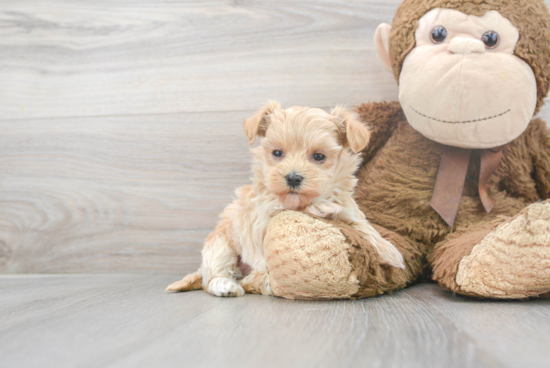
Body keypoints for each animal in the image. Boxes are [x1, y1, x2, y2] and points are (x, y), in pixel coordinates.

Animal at [167, 102, 406, 298]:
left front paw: (389, 251)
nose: (292, 178)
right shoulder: (266, 212)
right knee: (215, 277)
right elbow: (299, 207)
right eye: (277, 153)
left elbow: (363, 226)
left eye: (319, 156)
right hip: (221, 245)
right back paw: (227, 286)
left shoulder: (349, 209)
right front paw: (322, 207)